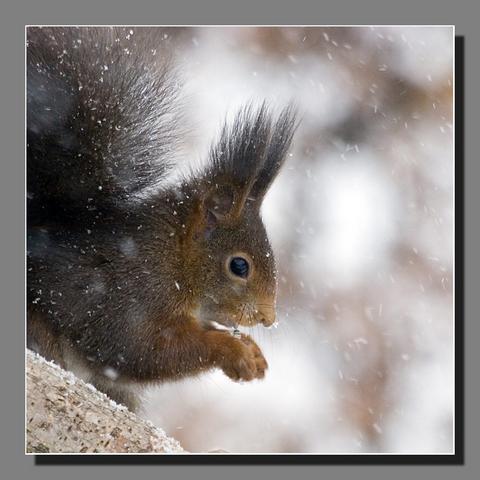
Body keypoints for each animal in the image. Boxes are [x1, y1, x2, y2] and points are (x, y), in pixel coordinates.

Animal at [27, 26, 296, 410]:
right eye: (239, 266)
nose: (267, 318)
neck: (174, 258)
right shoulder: (131, 295)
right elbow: (145, 351)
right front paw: (234, 351)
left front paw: (252, 351)